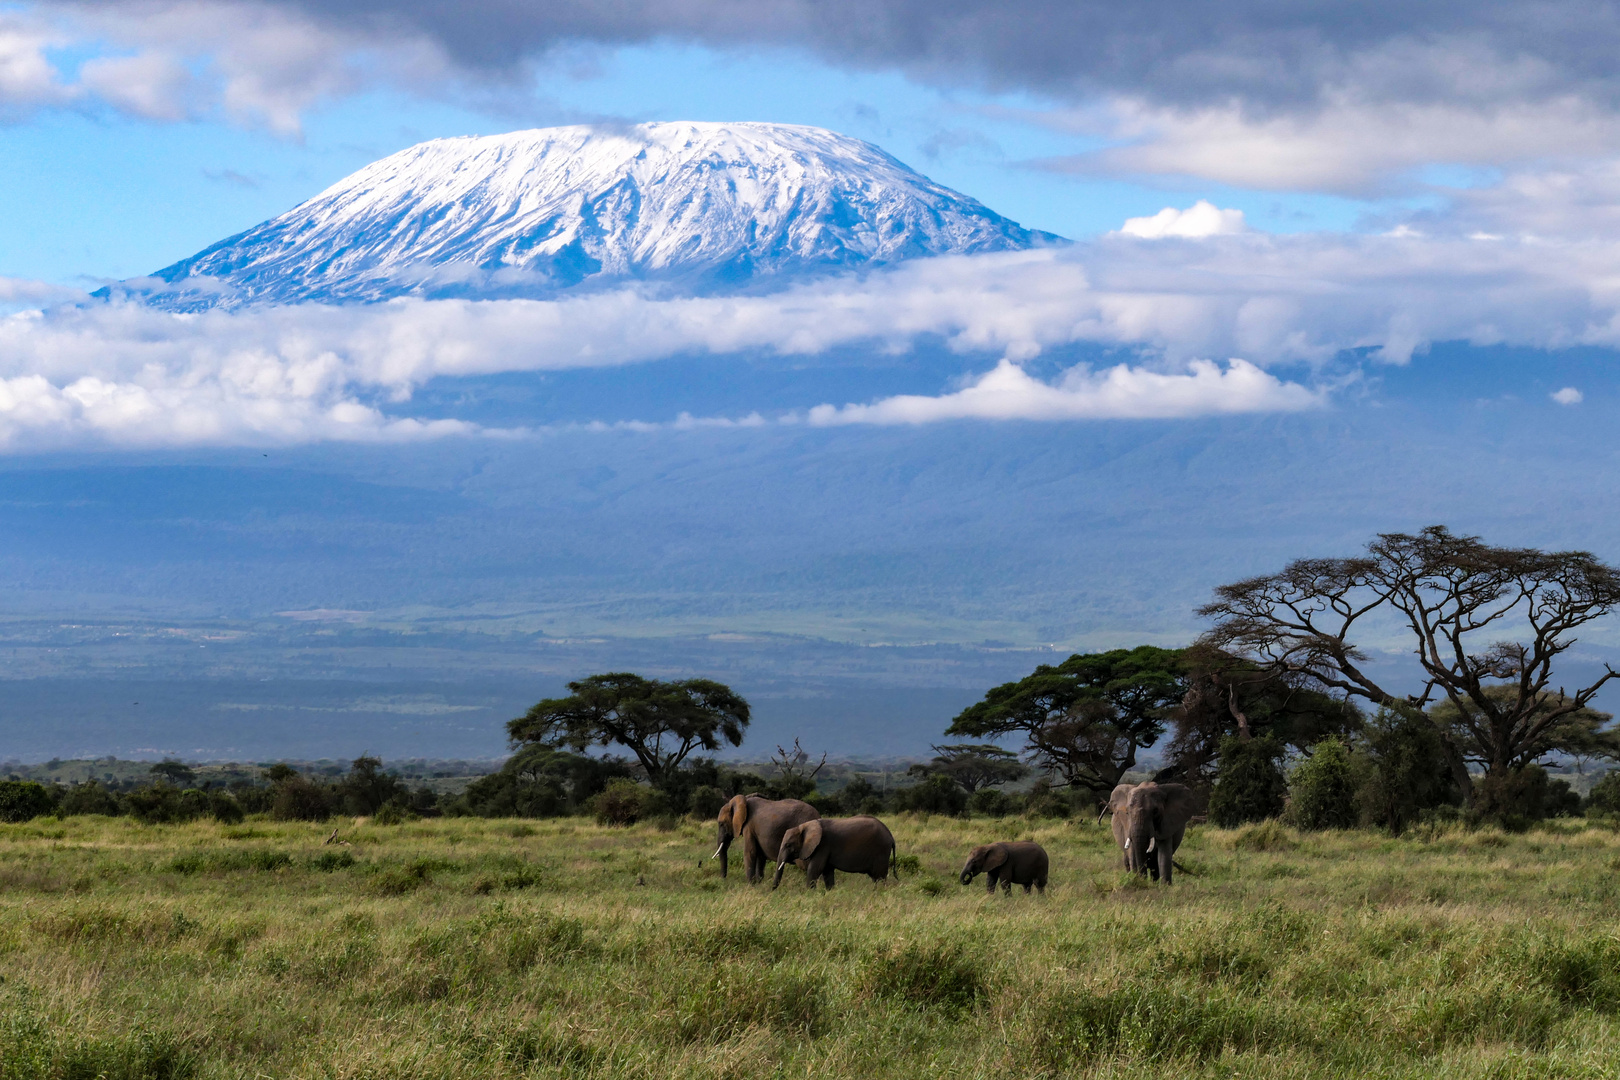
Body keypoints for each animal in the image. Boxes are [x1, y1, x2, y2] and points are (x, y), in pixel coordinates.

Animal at [771, 816, 900, 893]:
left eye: (788, 845)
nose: (772, 892)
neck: (804, 826)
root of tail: (891, 837)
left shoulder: (823, 845)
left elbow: (815, 869)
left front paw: (809, 894)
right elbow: (827, 872)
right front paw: (829, 892)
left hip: (881, 850)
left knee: (880, 876)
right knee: (876, 877)